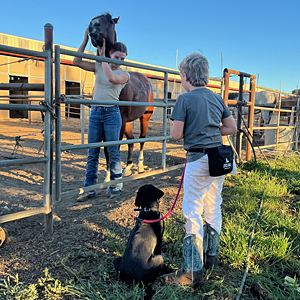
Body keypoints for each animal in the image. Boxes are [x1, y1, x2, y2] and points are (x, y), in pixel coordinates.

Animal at [88, 13, 154, 176]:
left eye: (111, 21)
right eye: (92, 20)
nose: (93, 26)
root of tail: (145, 80)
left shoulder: (120, 121)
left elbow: (114, 147)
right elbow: (107, 149)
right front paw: (108, 176)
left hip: (144, 117)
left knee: (141, 138)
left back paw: (140, 166)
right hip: (129, 121)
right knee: (131, 139)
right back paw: (128, 168)